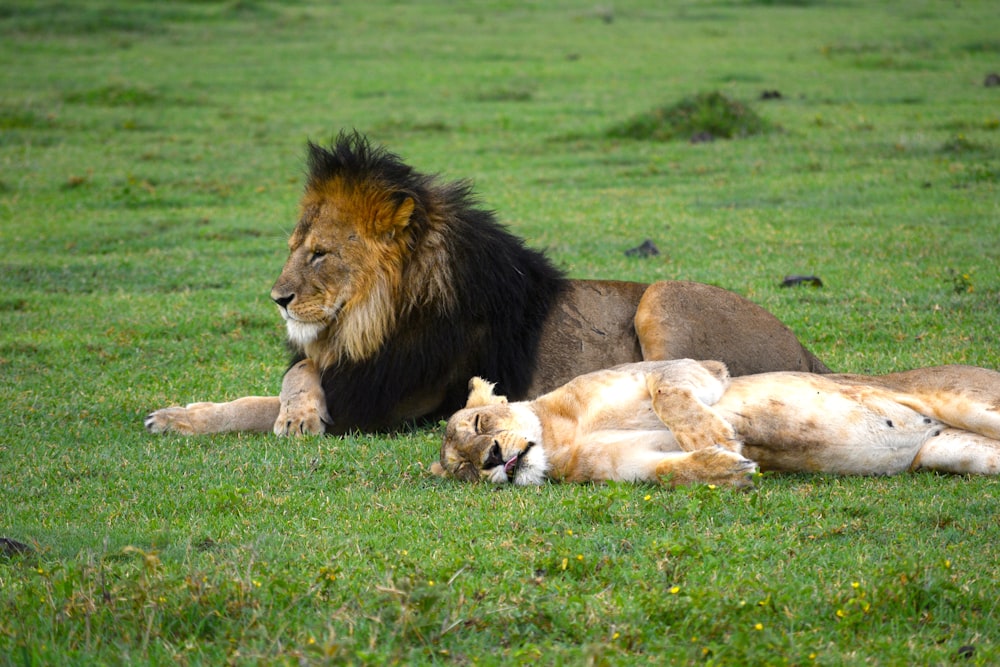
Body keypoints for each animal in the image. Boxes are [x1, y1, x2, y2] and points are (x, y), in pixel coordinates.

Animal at [146, 135, 828, 438]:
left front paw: (296, 417)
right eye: (292, 248)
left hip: (663, 295)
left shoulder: (393, 403)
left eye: (319, 254)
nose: (278, 299)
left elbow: (285, 388)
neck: (377, 319)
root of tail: (807, 350)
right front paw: (179, 416)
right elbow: (278, 383)